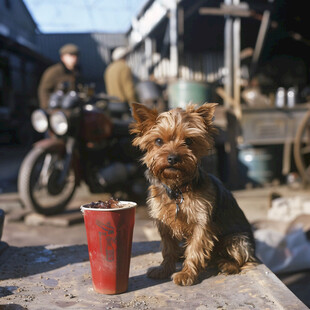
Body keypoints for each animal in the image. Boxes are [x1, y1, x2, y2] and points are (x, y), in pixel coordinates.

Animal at [130, 103, 256, 286]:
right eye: (158, 141)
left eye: (188, 141)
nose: (173, 158)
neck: (177, 189)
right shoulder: (164, 222)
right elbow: (168, 249)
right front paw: (164, 270)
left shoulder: (201, 223)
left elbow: (195, 249)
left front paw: (186, 274)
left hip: (237, 240)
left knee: (244, 260)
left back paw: (226, 264)